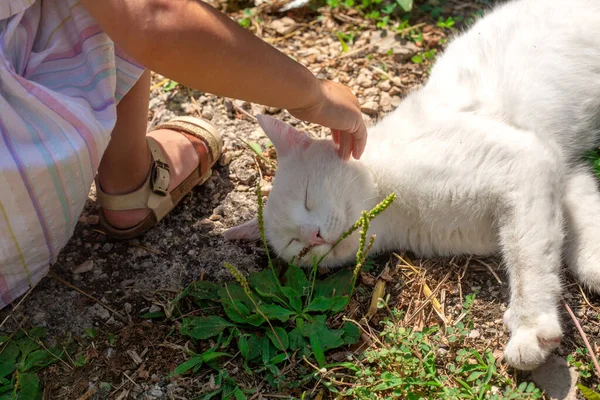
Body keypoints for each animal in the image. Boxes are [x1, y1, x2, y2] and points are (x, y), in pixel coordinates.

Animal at [223, 0, 600, 370]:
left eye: (307, 197)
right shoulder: (557, 169)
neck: (399, 212)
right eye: (295, 245)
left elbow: (527, 259)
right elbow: (572, 226)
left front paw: (529, 327)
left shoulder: (525, 161)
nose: (313, 236)